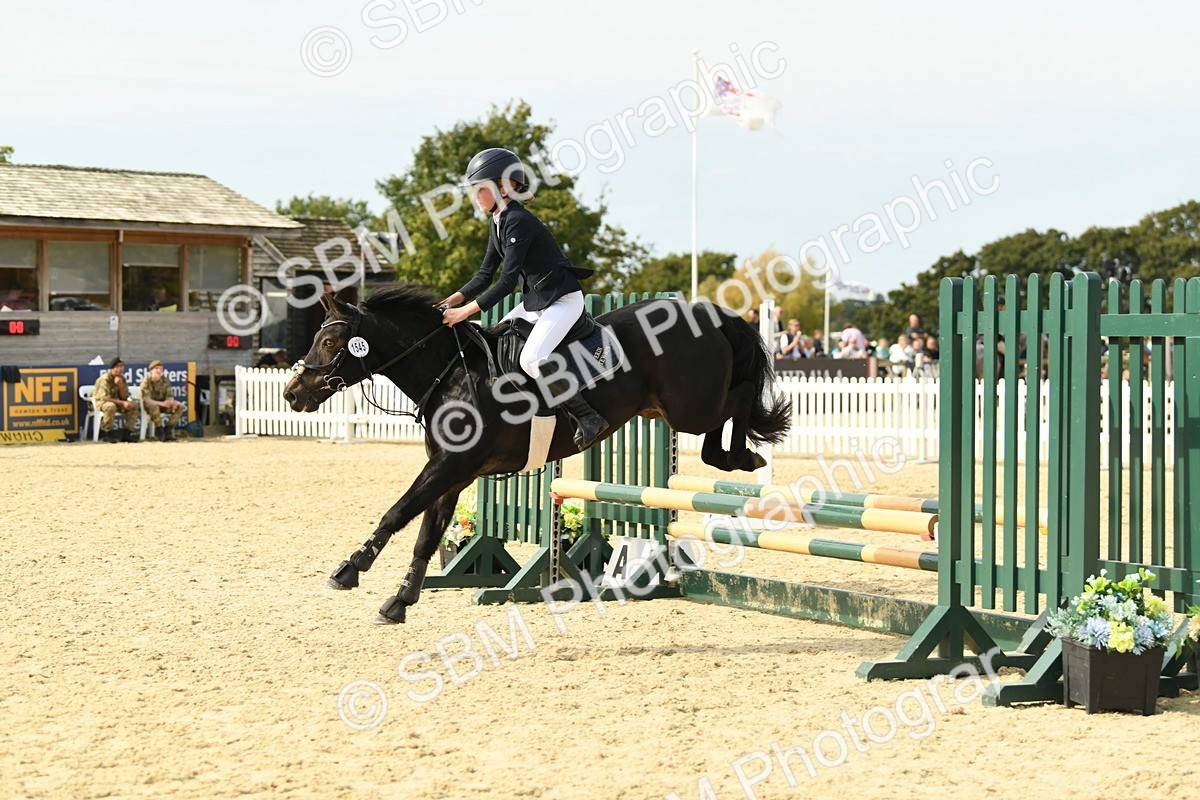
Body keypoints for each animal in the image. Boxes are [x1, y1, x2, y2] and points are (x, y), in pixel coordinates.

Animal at [284, 284, 789, 624]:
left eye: (329, 342)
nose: (292, 394)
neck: (450, 373)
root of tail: (709, 313)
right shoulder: (455, 473)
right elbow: (426, 533)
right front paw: (400, 600)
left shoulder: (449, 466)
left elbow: (398, 512)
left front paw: (351, 569)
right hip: (674, 409)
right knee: (723, 422)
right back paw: (735, 457)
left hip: (689, 407)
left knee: (741, 398)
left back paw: (743, 457)